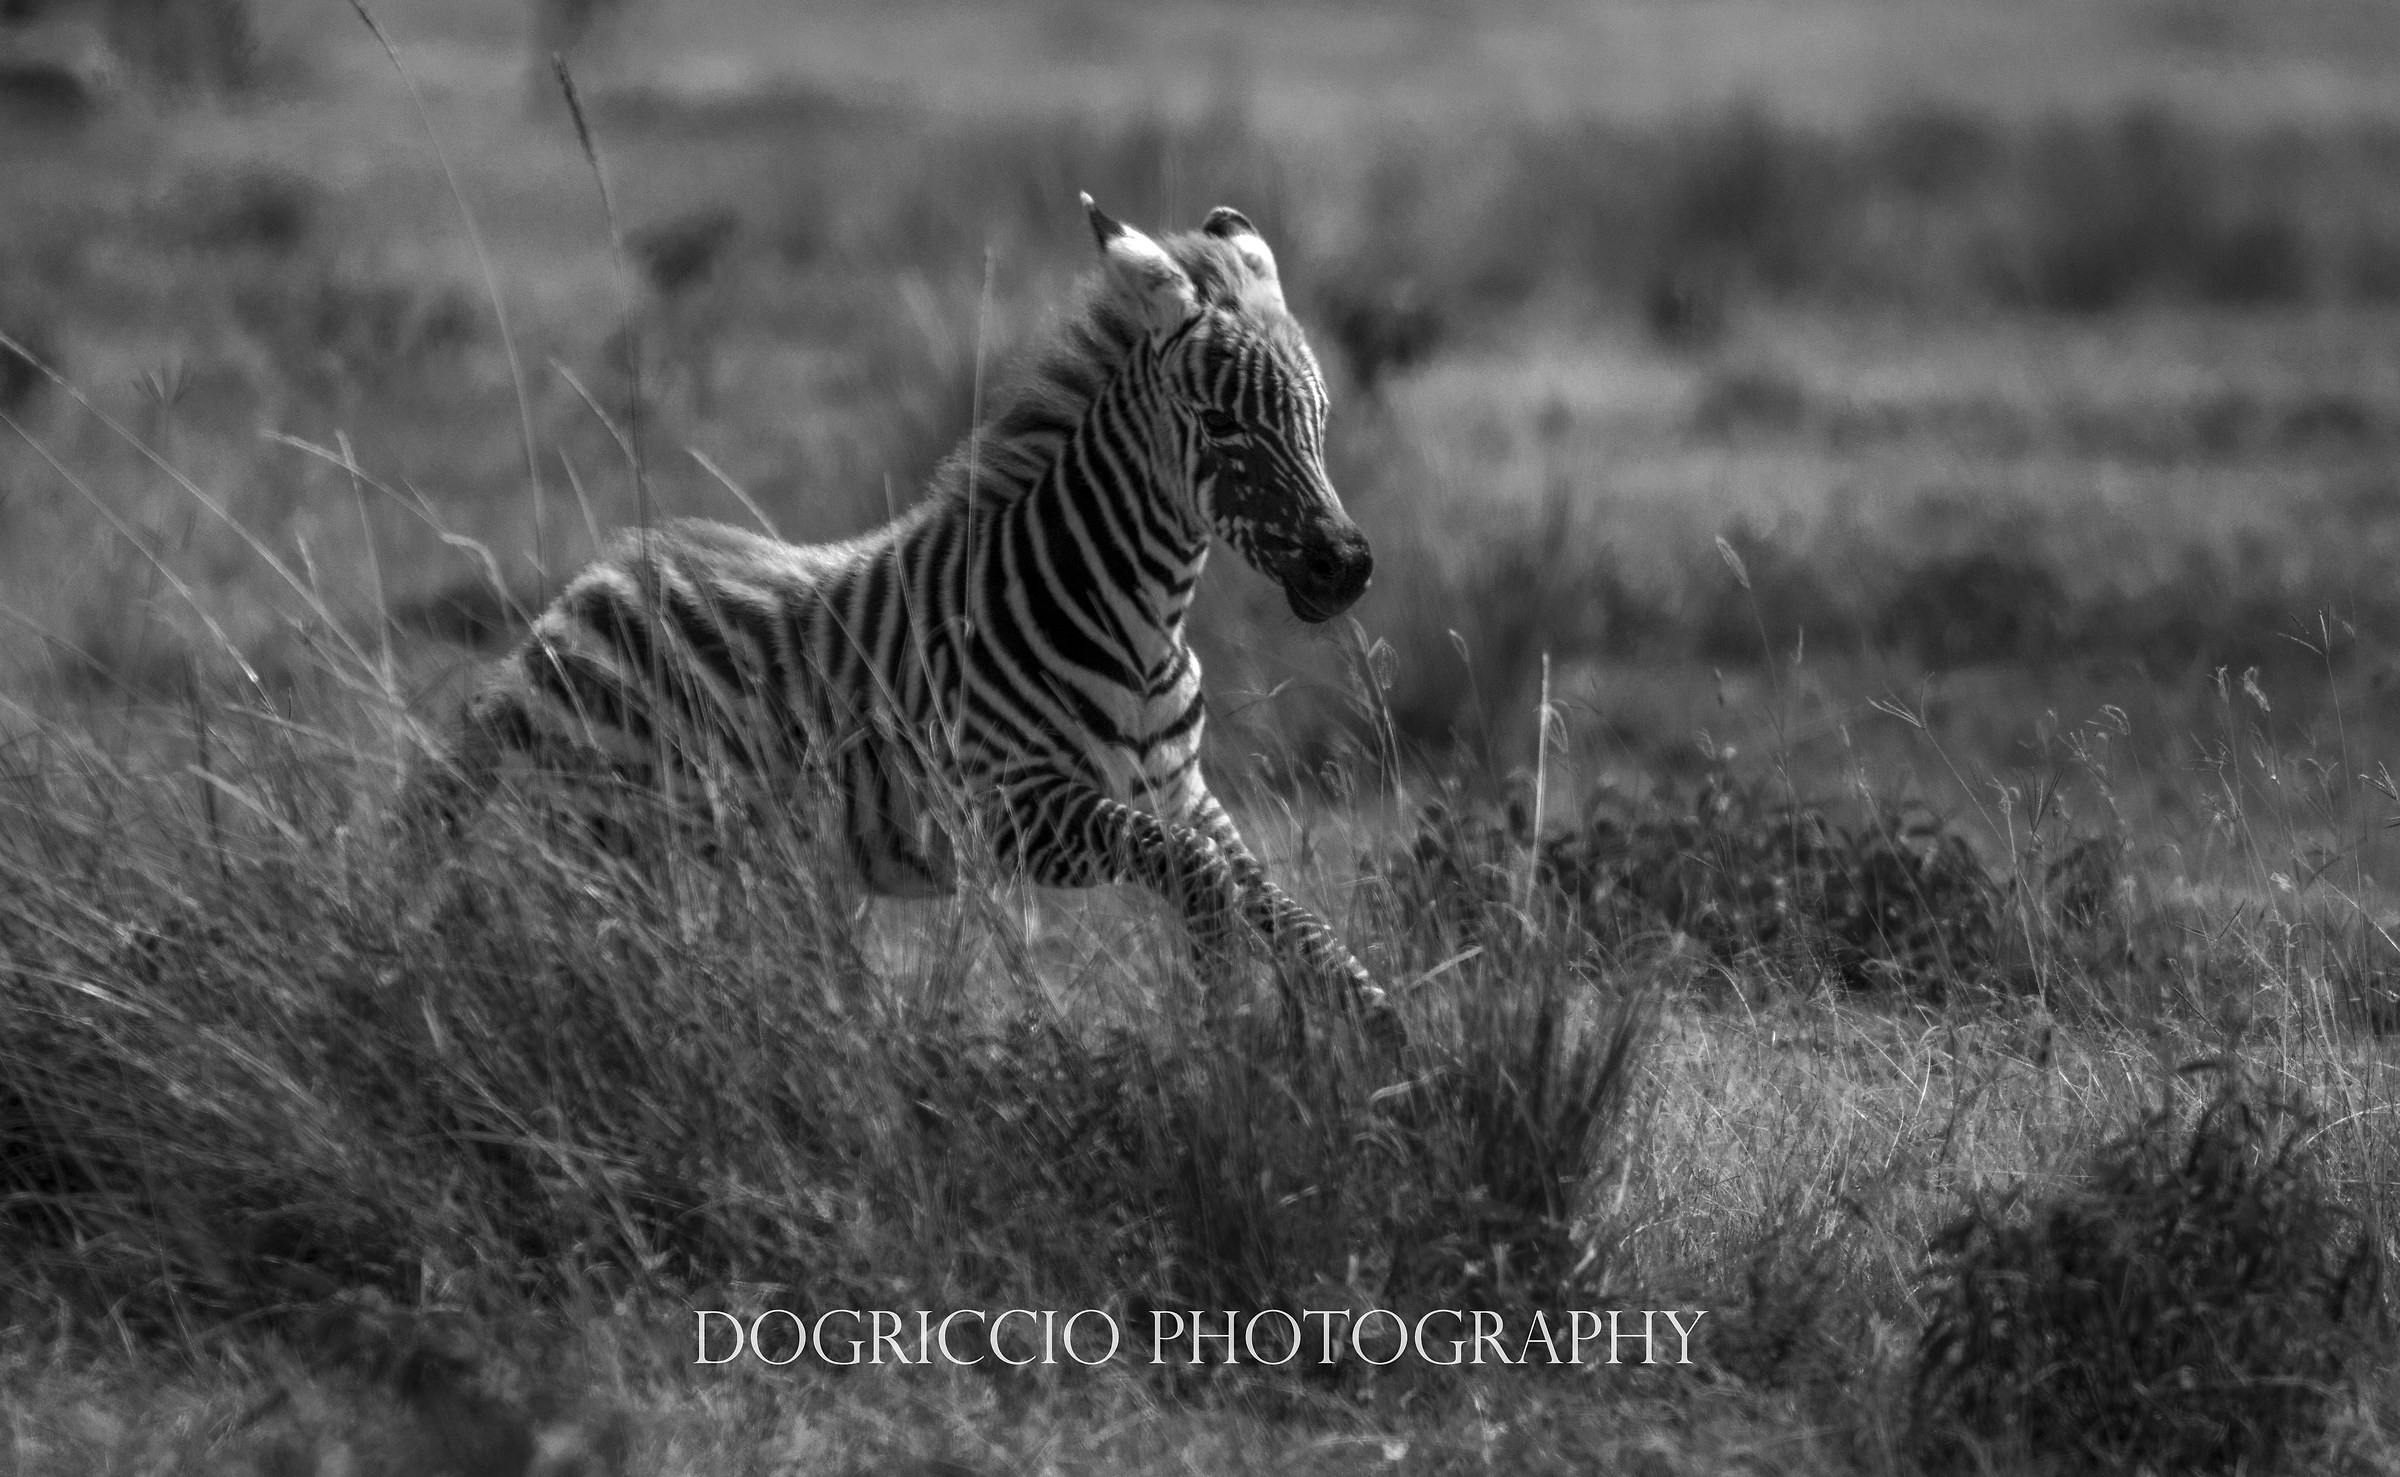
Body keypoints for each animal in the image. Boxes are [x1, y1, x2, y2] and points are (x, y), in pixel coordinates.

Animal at [403, 195, 1387, 1021]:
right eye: (1222, 424)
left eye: (1321, 415)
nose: (1345, 567)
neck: (1139, 622)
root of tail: (570, 602)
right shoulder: (1005, 809)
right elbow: (1199, 874)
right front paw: (1227, 1009)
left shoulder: (1185, 792)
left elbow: (1295, 918)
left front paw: (1382, 1048)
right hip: (614, 835)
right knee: (574, 949)